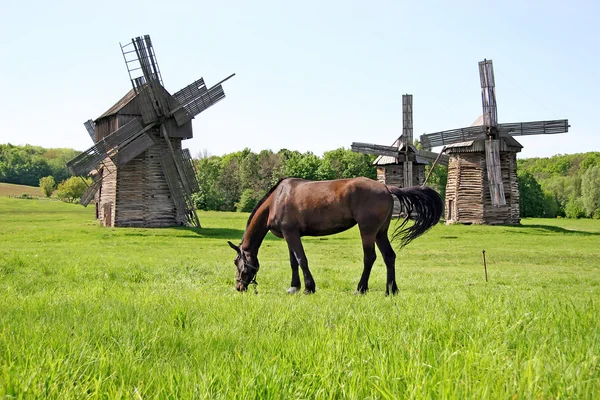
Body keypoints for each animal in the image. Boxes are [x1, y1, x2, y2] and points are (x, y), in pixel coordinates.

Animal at [227, 177, 442, 296]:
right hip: (381, 232)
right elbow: (293, 262)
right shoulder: (290, 235)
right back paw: (391, 290)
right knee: (389, 256)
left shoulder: (291, 234)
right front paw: (294, 287)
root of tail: (387, 188)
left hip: (368, 230)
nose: (238, 287)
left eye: (237, 263)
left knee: (370, 258)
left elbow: (301, 260)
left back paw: (361, 289)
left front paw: (308, 288)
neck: (276, 199)